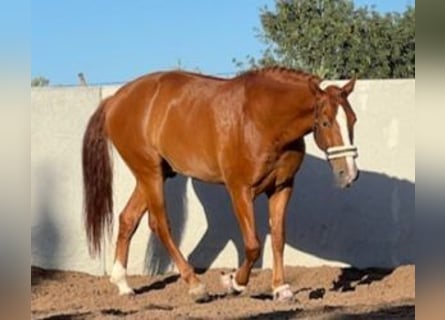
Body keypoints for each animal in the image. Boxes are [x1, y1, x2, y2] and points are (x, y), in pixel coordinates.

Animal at [82, 67, 358, 302]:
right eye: (325, 122)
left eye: (353, 120)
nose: (349, 174)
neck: (262, 118)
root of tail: (115, 100)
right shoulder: (240, 190)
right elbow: (253, 245)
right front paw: (233, 282)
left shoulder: (282, 188)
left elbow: (278, 238)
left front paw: (281, 289)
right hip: (149, 174)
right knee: (159, 225)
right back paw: (196, 286)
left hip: (153, 175)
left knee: (128, 219)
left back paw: (123, 284)